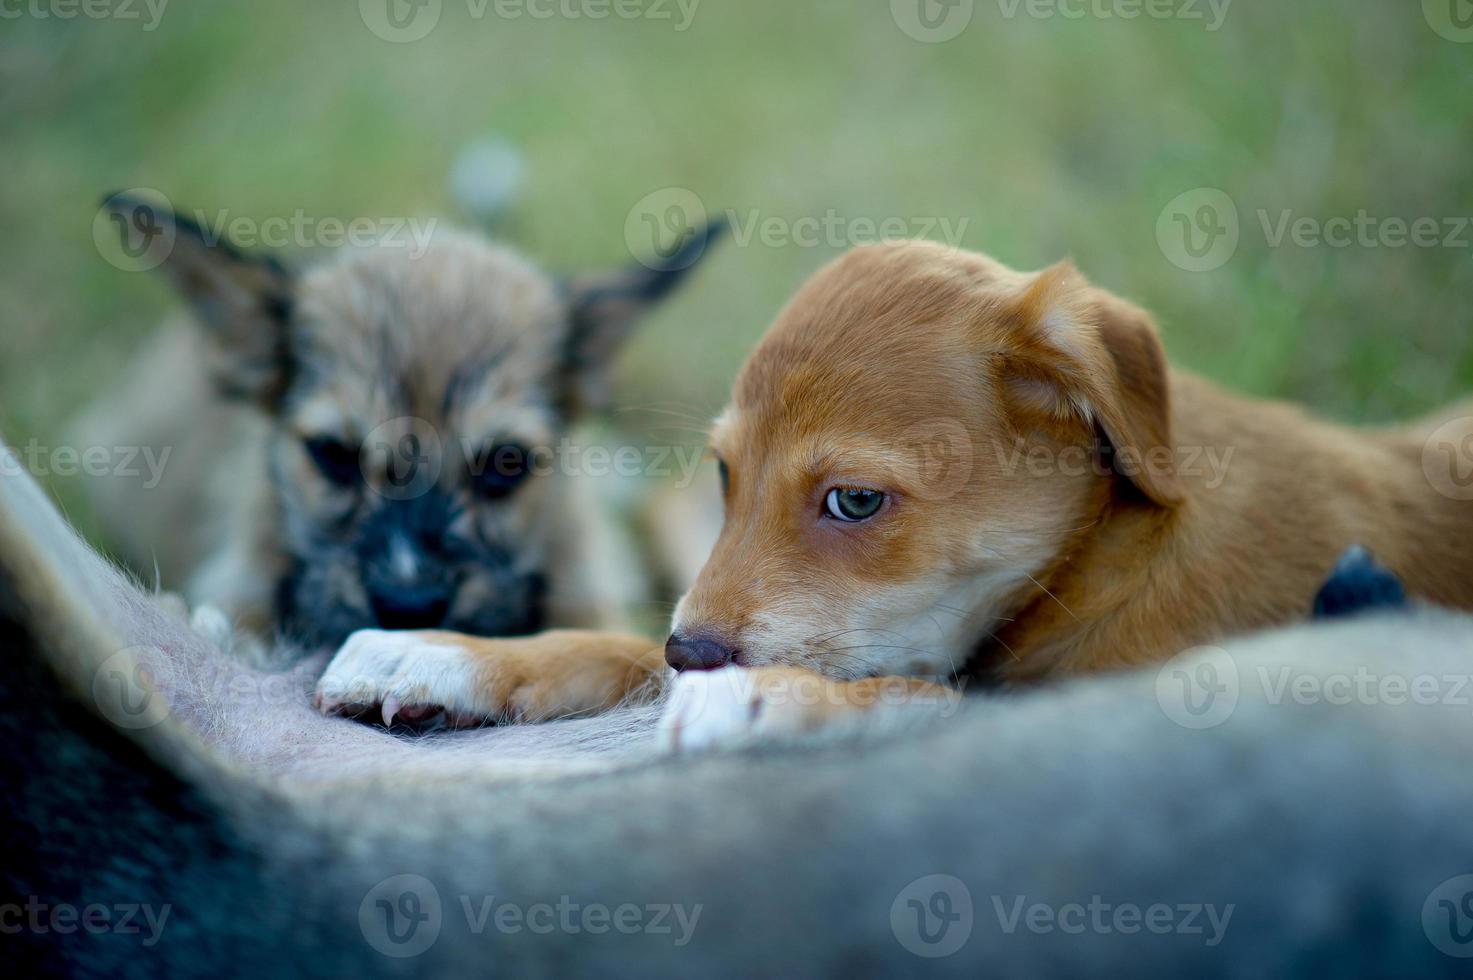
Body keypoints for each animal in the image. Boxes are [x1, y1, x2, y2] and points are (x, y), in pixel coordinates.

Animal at [313, 240, 1473, 736]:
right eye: (726, 473)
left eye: (855, 502)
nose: (693, 655)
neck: (1101, 561)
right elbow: (610, 643)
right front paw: (443, 653)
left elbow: (910, 690)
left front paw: (770, 697)